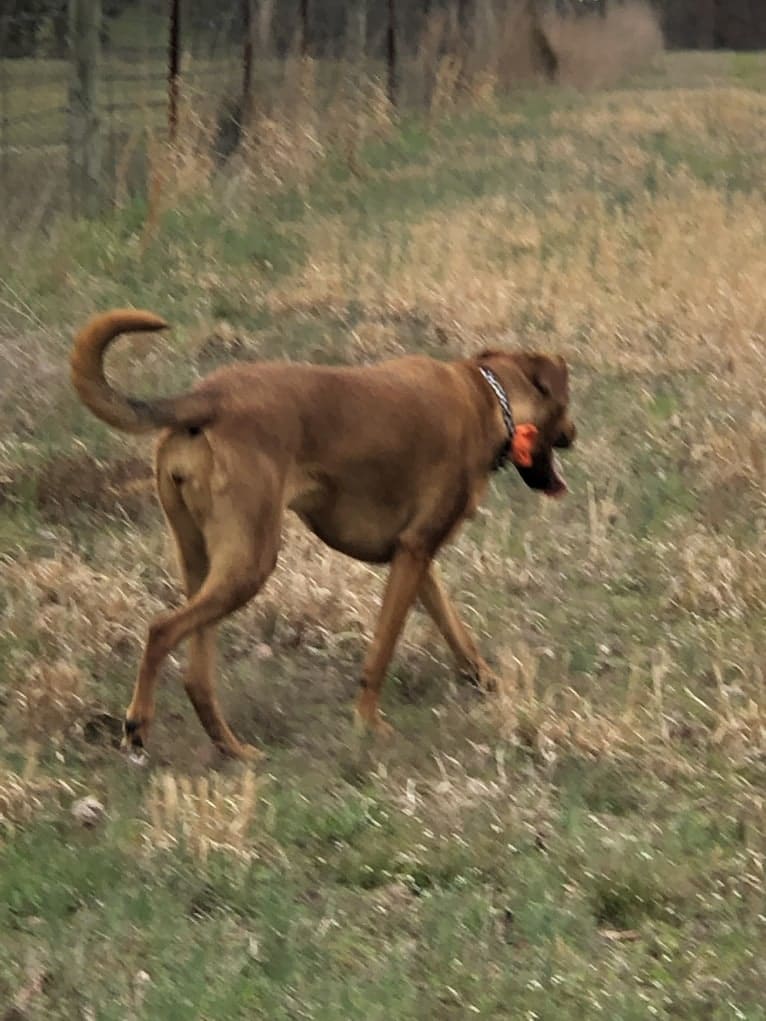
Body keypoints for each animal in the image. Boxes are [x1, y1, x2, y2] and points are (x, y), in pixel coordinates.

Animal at [70, 308, 576, 759]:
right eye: (567, 408)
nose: (574, 434)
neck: (489, 397)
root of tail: (207, 396)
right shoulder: (414, 553)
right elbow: (381, 652)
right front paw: (368, 723)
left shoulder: (414, 558)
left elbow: (457, 632)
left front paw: (489, 683)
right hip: (251, 563)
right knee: (160, 630)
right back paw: (138, 725)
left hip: (202, 562)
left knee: (196, 674)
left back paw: (233, 749)